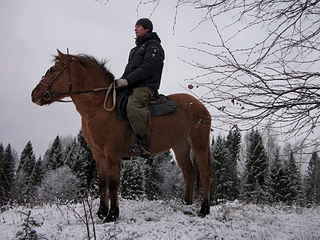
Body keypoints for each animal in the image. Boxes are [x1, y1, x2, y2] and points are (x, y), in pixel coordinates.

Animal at [31, 49, 214, 222]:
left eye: (52, 70)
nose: (34, 94)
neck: (99, 106)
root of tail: (200, 106)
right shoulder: (98, 154)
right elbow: (102, 183)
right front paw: (101, 212)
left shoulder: (112, 154)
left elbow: (113, 184)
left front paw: (112, 214)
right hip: (180, 147)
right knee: (188, 173)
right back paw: (187, 204)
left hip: (199, 144)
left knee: (205, 173)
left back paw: (204, 208)